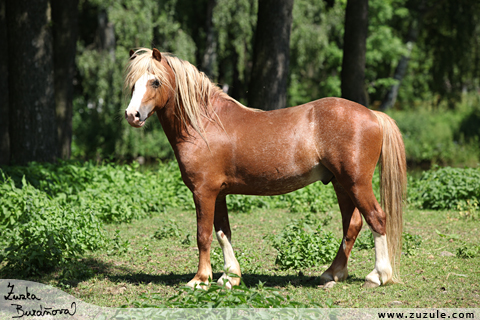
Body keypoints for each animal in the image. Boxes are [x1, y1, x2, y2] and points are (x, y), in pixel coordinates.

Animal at [124, 48, 404, 290]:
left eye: (155, 82)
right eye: (133, 83)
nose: (132, 115)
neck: (204, 124)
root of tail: (373, 114)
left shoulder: (204, 192)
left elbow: (203, 235)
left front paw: (200, 280)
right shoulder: (220, 193)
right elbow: (223, 232)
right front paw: (230, 277)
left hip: (356, 182)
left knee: (377, 218)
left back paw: (378, 276)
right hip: (340, 183)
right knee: (352, 224)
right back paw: (332, 274)